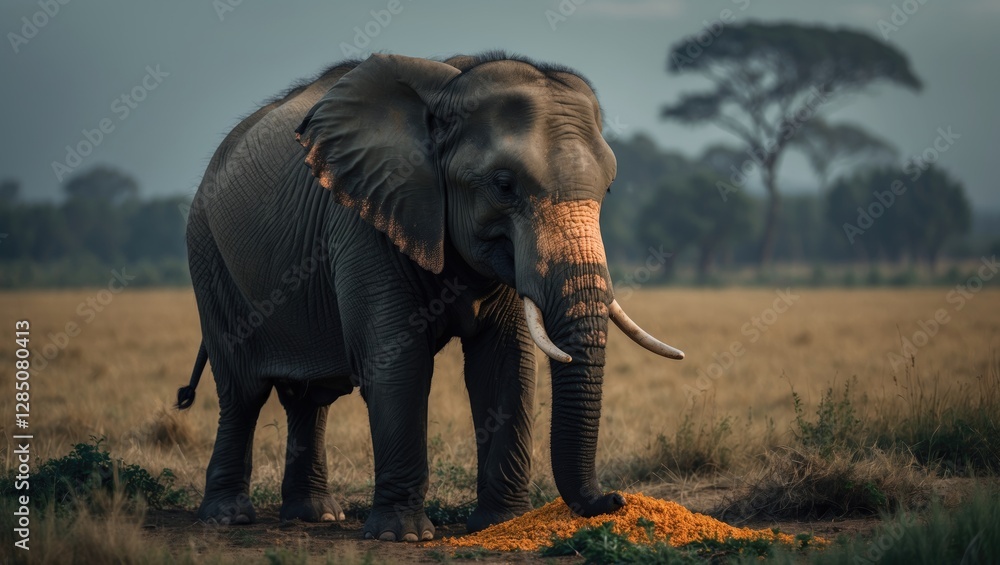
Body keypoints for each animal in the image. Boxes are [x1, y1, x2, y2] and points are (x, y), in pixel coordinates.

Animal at [176, 51, 684, 542]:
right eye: (503, 185)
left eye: (609, 188)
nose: (616, 499)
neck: (451, 90)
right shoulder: (366, 221)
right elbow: (397, 363)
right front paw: (401, 536)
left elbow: (505, 365)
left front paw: (501, 526)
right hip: (209, 255)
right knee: (243, 391)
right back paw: (227, 518)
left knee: (308, 397)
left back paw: (316, 516)